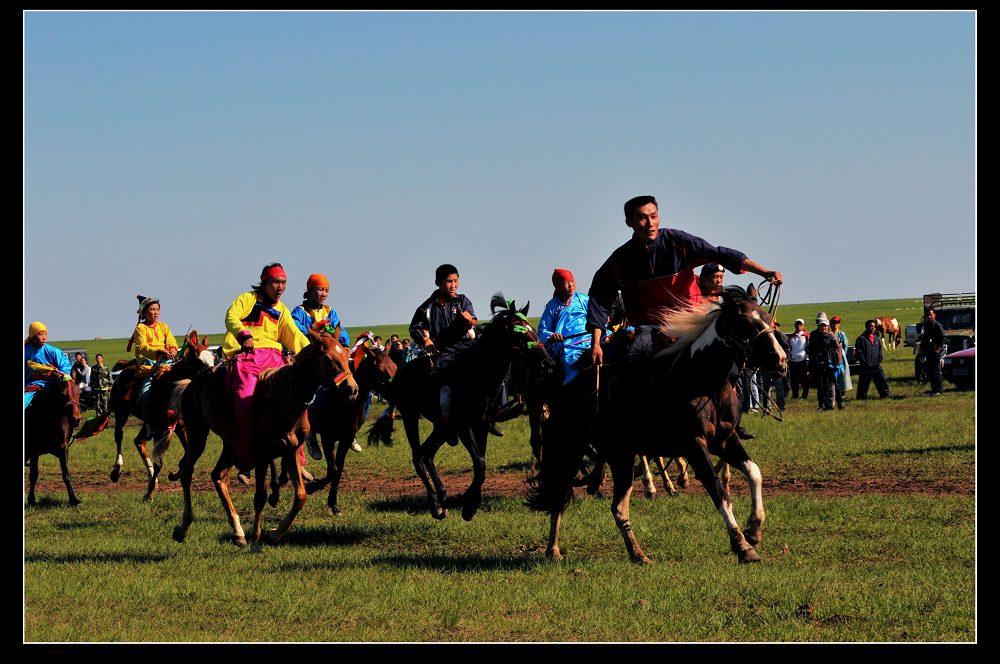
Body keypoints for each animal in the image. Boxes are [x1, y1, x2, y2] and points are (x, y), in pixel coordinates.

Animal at [25, 376, 83, 506]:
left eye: (79, 393)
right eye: (62, 394)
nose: (76, 418)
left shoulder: (63, 448)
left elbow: (66, 474)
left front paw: (73, 499)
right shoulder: (34, 451)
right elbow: (33, 475)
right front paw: (31, 500)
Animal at [106, 330, 215, 498]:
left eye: (213, 357)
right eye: (198, 360)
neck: (171, 389)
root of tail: (124, 371)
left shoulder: (181, 427)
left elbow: (187, 455)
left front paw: (174, 474)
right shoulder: (159, 429)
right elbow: (160, 462)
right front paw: (149, 492)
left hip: (146, 422)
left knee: (139, 441)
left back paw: (153, 478)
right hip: (121, 411)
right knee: (119, 435)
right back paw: (116, 471)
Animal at [172, 322, 360, 548]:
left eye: (347, 353)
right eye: (327, 358)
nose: (352, 389)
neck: (284, 400)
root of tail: (192, 384)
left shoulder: (291, 449)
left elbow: (300, 496)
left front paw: (274, 534)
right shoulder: (261, 453)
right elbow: (260, 496)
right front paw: (256, 538)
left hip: (231, 443)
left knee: (218, 476)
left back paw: (237, 532)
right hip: (197, 433)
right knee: (186, 472)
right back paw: (183, 527)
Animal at [370, 296, 556, 524]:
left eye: (534, 330)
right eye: (520, 334)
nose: (548, 363)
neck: (475, 378)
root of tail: (401, 371)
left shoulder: (482, 426)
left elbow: (480, 465)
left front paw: (471, 504)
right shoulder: (464, 427)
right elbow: (480, 462)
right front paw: (468, 505)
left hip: (441, 427)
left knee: (427, 453)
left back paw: (443, 495)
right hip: (410, 416)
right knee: (418, 456)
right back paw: (436, 504)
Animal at [532, 286, 788, 564]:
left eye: (766, 317)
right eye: (744, 322)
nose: (780, 360)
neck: (698, 381)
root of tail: (567, 387)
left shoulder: (725, 440)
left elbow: (754, 472)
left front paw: (754, 529)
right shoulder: (694, 445)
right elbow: (718, 492)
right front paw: (742, 546)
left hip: (620, 455)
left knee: (615, 506)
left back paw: (635, 553)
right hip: (574, 448)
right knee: (562, 494)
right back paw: (555, 549)